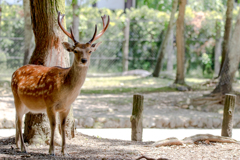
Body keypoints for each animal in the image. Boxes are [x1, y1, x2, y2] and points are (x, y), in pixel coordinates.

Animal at [10, 11, 109, 156]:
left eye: (90, 51)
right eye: (75, 51)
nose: (84, 60)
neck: (65, 90)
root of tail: (14, 73)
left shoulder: (66, 107)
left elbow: (62, 126)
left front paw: (64, 151)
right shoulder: (49, 103)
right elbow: (53, 125)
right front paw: (51, 150)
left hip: (26, 105)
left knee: (17, 119)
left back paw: (17, 145)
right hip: (16, 97)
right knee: (18, 120)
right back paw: (23, 147)